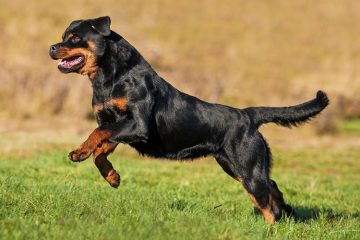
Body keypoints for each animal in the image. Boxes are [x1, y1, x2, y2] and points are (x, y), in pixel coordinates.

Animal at [49, 16, 328, 223]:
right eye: (64, 36)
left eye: (75, 38)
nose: (52, 47)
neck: (110, 78)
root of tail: (247, 114)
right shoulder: (113, 124)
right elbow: (100, 152)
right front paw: (112, 177)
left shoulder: (137, 125)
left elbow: (95, 137)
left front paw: (79, 152)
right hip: (236, 166)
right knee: (272, 187)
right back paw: (288, 211)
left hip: (247, 167)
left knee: (267, 204)